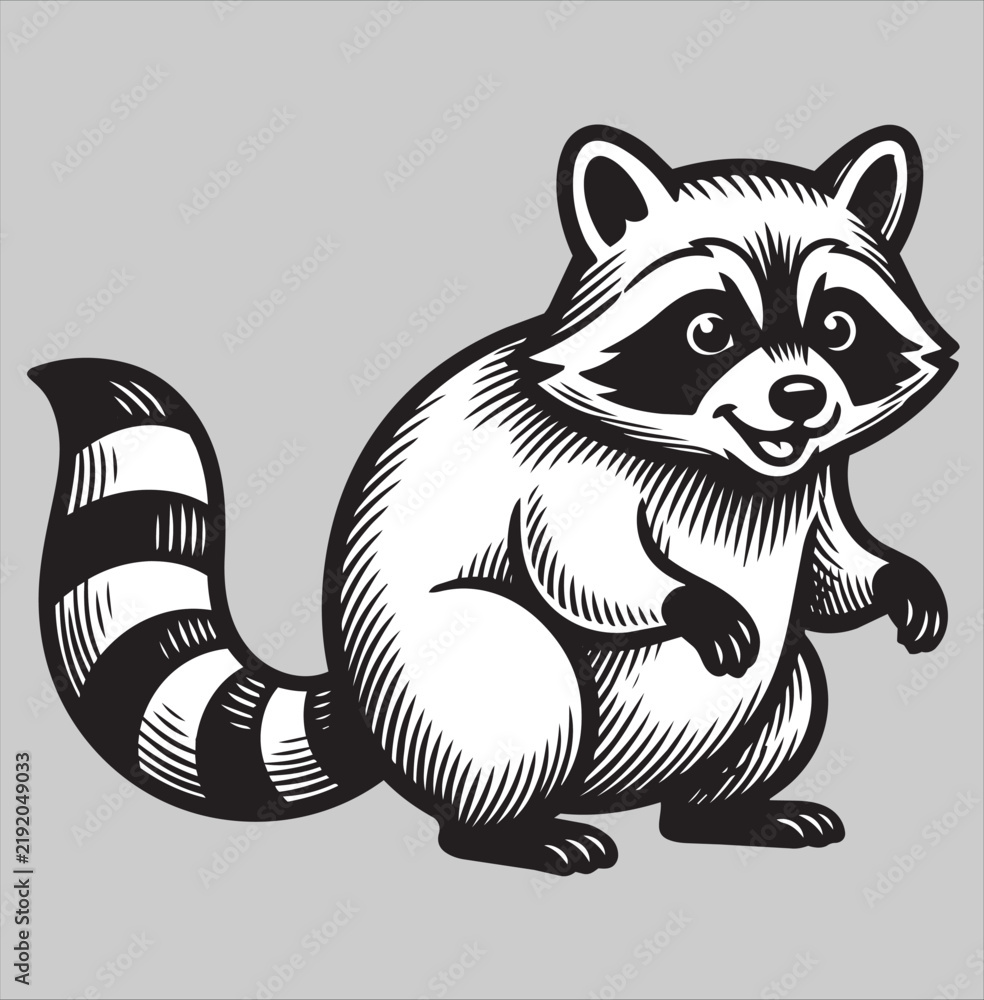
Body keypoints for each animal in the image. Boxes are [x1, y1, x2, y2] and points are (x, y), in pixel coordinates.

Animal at [31, 125, 957, 875]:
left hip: (748, 703)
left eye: (837, 328)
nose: (801, 399)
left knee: (793, 675)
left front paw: (894, 579)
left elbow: (830, 576)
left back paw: (719, 813)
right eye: (709, 331)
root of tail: (363, 707)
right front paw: (683, 597)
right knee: (516, 663)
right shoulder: (566, 475)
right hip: (445, 688)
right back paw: (505, 832)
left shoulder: (812, 482)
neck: (728, 465)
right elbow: (580, 572)